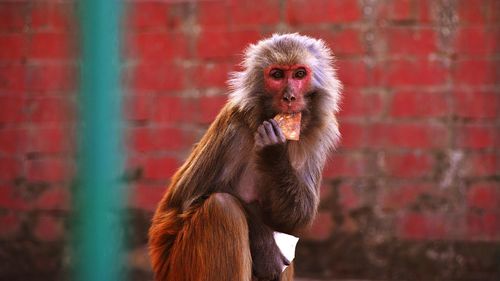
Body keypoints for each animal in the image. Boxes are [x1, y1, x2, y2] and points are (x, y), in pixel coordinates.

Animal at [148, 33, 342, 280]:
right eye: (277, 75)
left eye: (299, 74)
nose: (289, 97)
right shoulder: (234, 129)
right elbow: (190, 199)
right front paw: (264, 246)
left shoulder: (319, 135)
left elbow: (295, 219)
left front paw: (273, 153)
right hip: (179, 266)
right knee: (222, 207)